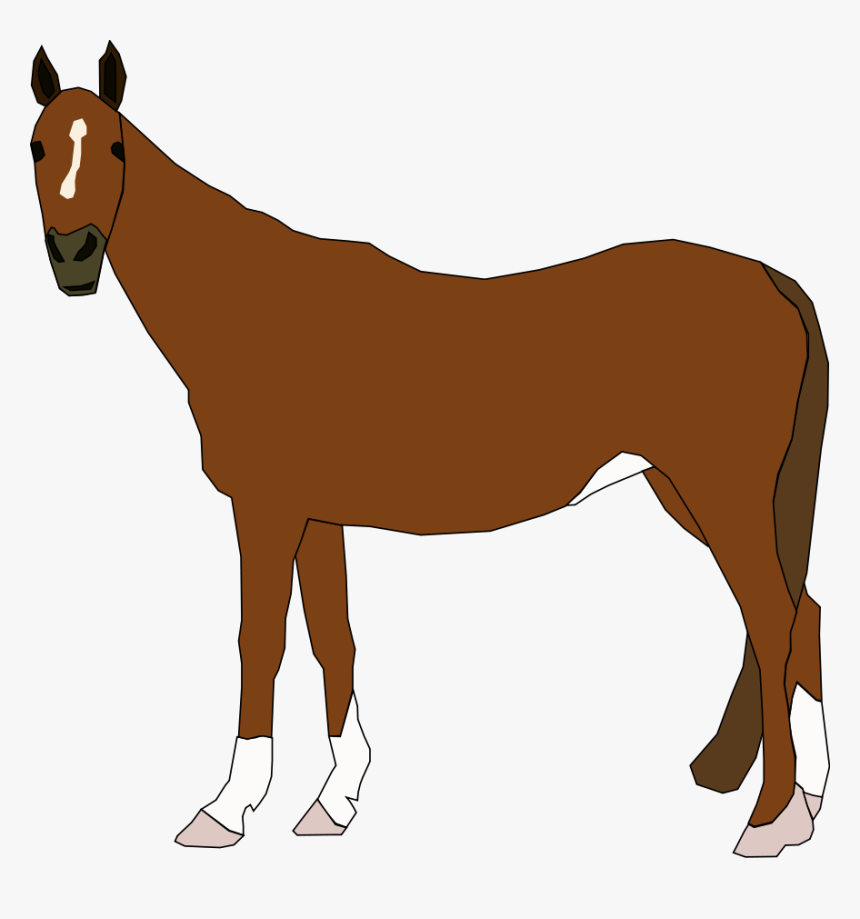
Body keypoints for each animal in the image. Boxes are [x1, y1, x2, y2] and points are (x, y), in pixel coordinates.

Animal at [30, 43, 829, 856]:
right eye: (36, 147)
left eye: (115, 148)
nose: (74, 257)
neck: (251, 309)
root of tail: (772, 280)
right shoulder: (316, 514)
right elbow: (334, 640)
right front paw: (335, 799)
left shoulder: (266, 509)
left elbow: (261, 642)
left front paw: (226, 808)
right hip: (690, 492)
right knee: (805, 615)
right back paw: (807, 798)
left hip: (720, 491)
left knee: (775, 621)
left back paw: (770, 818)